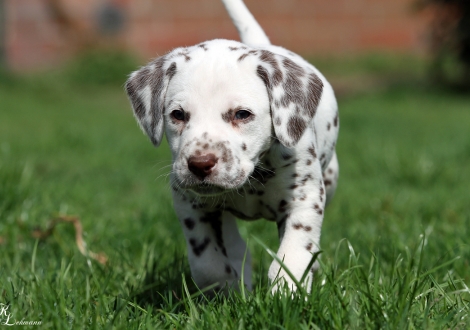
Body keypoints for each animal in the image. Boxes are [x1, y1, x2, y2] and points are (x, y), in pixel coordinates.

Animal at [125, 0, 338, 294]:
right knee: (235, 246)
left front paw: (286, 293)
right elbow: (208, 264)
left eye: (242, 114)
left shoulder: (304, 199)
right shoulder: (190, 204)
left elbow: (291, 258)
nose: (200, 164)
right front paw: (226, 289)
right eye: (178, 115)